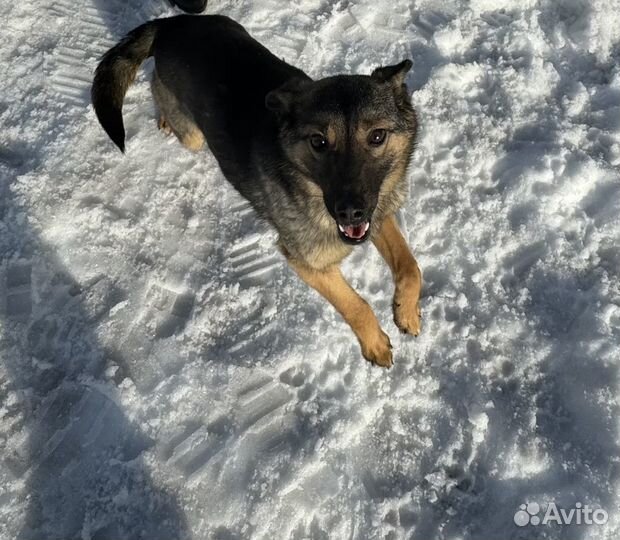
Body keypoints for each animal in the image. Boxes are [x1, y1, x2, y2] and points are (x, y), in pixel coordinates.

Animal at [91, 14, 422, 368]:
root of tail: (173, 22)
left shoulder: (377, 212)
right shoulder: (305, 262)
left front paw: (406, 311)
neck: (308, 186)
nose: (349, 212)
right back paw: (166, 119)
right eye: (318, 142)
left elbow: (410, 266)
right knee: (164, 98)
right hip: (193, 135)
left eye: (377, 136)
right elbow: (355, 304)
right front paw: (374, 342)